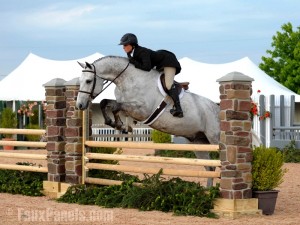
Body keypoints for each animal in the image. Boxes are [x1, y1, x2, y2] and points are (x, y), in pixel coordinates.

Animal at [75, 55, 220, 186]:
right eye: (80, 81)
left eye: (88, 81)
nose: (80, 105)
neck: (128, 78)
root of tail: (217, 108)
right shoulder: (127, 107)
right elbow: (107, 103)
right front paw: (118, 124)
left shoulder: (141, 110)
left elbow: (116, 106)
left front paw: (119, 125)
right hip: (198, 142)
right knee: (210, 167)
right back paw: (208, 192)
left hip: (214, 138)